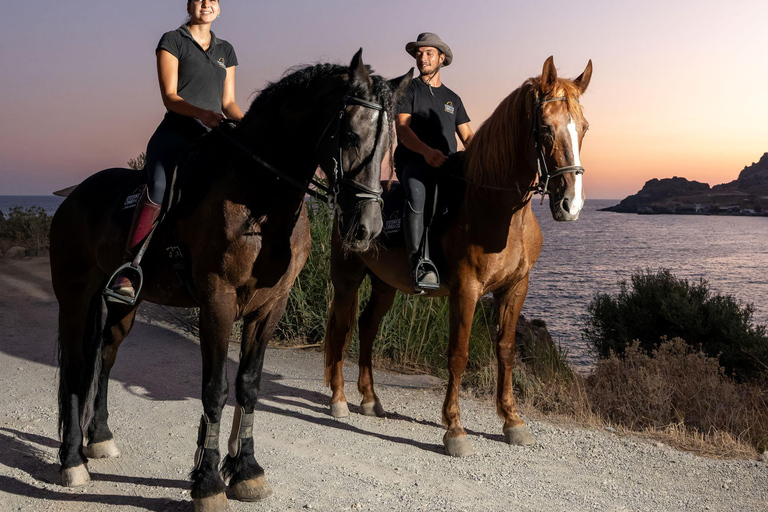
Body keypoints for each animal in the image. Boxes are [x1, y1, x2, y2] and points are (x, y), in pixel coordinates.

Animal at [51, 49, 412, 512]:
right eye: (349, 135)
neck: (260, 202)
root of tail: (74, 196)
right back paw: (72, 461)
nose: (367, 228)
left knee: (105, 357)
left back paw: (99, 439)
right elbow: (215, 390)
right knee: (77, 365)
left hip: (121, 305)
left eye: (390, 147)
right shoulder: (217, 302)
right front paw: (207, 482)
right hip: (75, 296)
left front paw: (247, 471)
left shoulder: (269, 306)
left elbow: (249, 386)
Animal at [324, 56, 592, 456]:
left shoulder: (516, 289)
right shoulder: (467, 290)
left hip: (385, 285)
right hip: (347, 277)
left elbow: (506, 350)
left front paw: (512, 421)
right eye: (545, 127)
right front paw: (454, 429)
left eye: (584, 128)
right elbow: (459, 353)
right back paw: (339, 399)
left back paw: (370, 399)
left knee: (367, 326)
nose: (570, 204)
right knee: (342, 327)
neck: (497, 207)